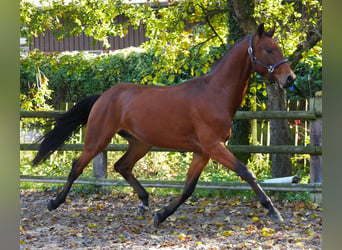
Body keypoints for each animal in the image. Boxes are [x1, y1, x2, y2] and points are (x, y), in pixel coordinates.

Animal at [34, 23, 296, 227]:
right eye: (268, 49)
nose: (289, 78)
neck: (215, 93)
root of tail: (104, 96)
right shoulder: (213, 146)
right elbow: (246, 172)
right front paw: (273, 211)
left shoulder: (203, 152)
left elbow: (189, 187)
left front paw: (162, 215)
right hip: (98, 139)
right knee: (77, 166)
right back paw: (54, 202)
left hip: (140, 143)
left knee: (122, 166)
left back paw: (144, 201)